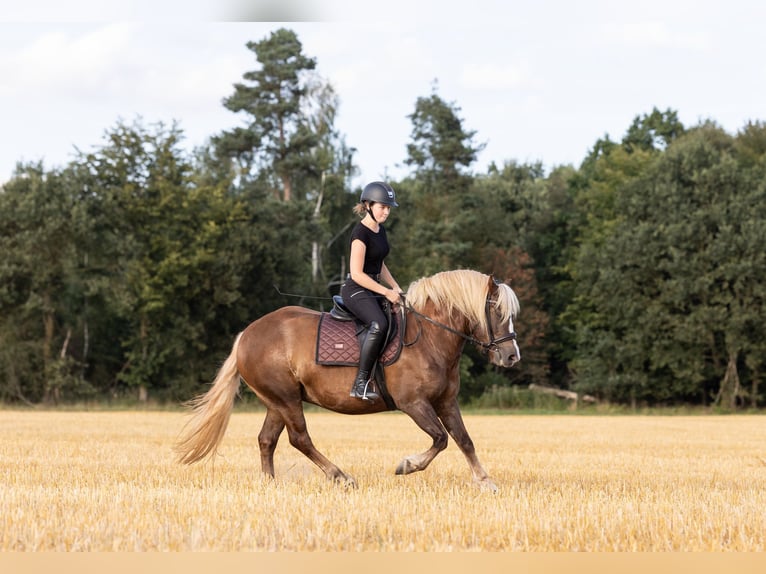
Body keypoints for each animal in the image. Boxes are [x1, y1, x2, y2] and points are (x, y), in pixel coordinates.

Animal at [174, 268, 520, 490]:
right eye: (497, 311)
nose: (511, 356)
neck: (430, 337)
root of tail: (247, 334)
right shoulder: (414, 403)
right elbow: (440, 439)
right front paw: (407, 465)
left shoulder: (446, 401)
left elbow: (463, 439)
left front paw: (485, 481)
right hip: (285, 399)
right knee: (299, 439)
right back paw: (341, 476)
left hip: (277, 401)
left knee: (267, 440)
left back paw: (269, 484)